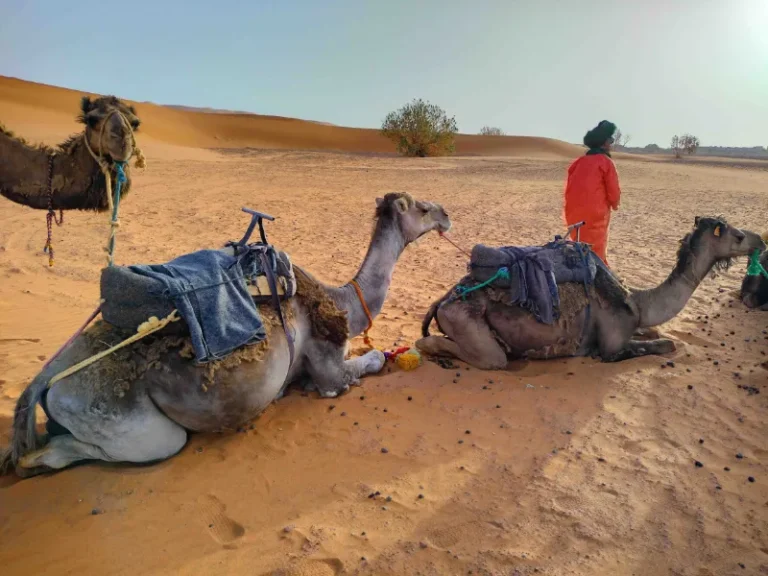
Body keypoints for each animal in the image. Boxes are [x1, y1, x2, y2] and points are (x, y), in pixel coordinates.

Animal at [1, 192, 450, 477]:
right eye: (424, 207)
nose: (447, 213)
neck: (341, 301)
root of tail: (47, 376)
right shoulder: (328, 367)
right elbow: (365, 364)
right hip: (130, 425)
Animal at [417, 217, 765, 369]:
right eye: (737, 235)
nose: (760, 240)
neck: (638, 302)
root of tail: (443, 301)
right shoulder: (611, 347)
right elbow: (665, 344)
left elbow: (655, 332)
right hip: (468, 324)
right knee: (483, 356)